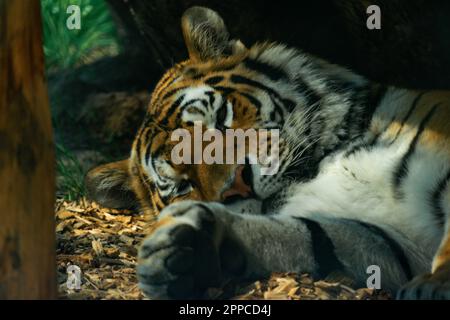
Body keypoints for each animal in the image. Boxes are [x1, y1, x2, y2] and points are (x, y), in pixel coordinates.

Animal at [85, 6, 450, 298]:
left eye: (221, 119)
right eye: (182, 184)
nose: (239, 184)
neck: (326, 165)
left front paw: (435, 285)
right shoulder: (386, 240)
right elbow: (308, 237)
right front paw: (189, 248)